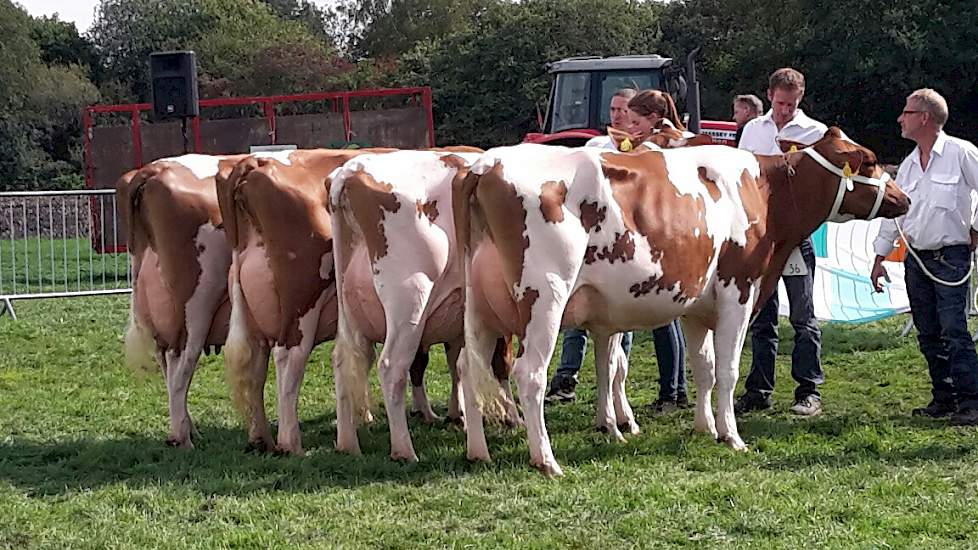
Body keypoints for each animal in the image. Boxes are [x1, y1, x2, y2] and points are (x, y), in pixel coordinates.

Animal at [117, 153, 248, 450]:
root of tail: (154, 170)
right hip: (195, 308)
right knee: (180, 366)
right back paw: (183, 438)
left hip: (162, 313)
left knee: (167, 363)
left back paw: (186, 430)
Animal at [330, 150, 520, 462]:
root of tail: (351, 170)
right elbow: (498, 363)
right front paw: (510, 416)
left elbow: (457, 364)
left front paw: (459, 415)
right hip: (410, 303)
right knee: (391, 367)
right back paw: (404, 450)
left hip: (351, 313)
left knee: (343, 362)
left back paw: (348, 443)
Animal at [456, 128, 908, 474]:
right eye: (869, 162)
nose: (902, 198)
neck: (766, 192)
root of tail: (485, 165)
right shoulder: (738, 293)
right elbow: (727, 370)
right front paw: (732, 435)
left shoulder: (696, 307)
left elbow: (703, 368)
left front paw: (704, 427)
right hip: (545, 297)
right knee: (529, 373)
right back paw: (547, 460)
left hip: (477, 307)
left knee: (468, 367)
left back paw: (478, 450)